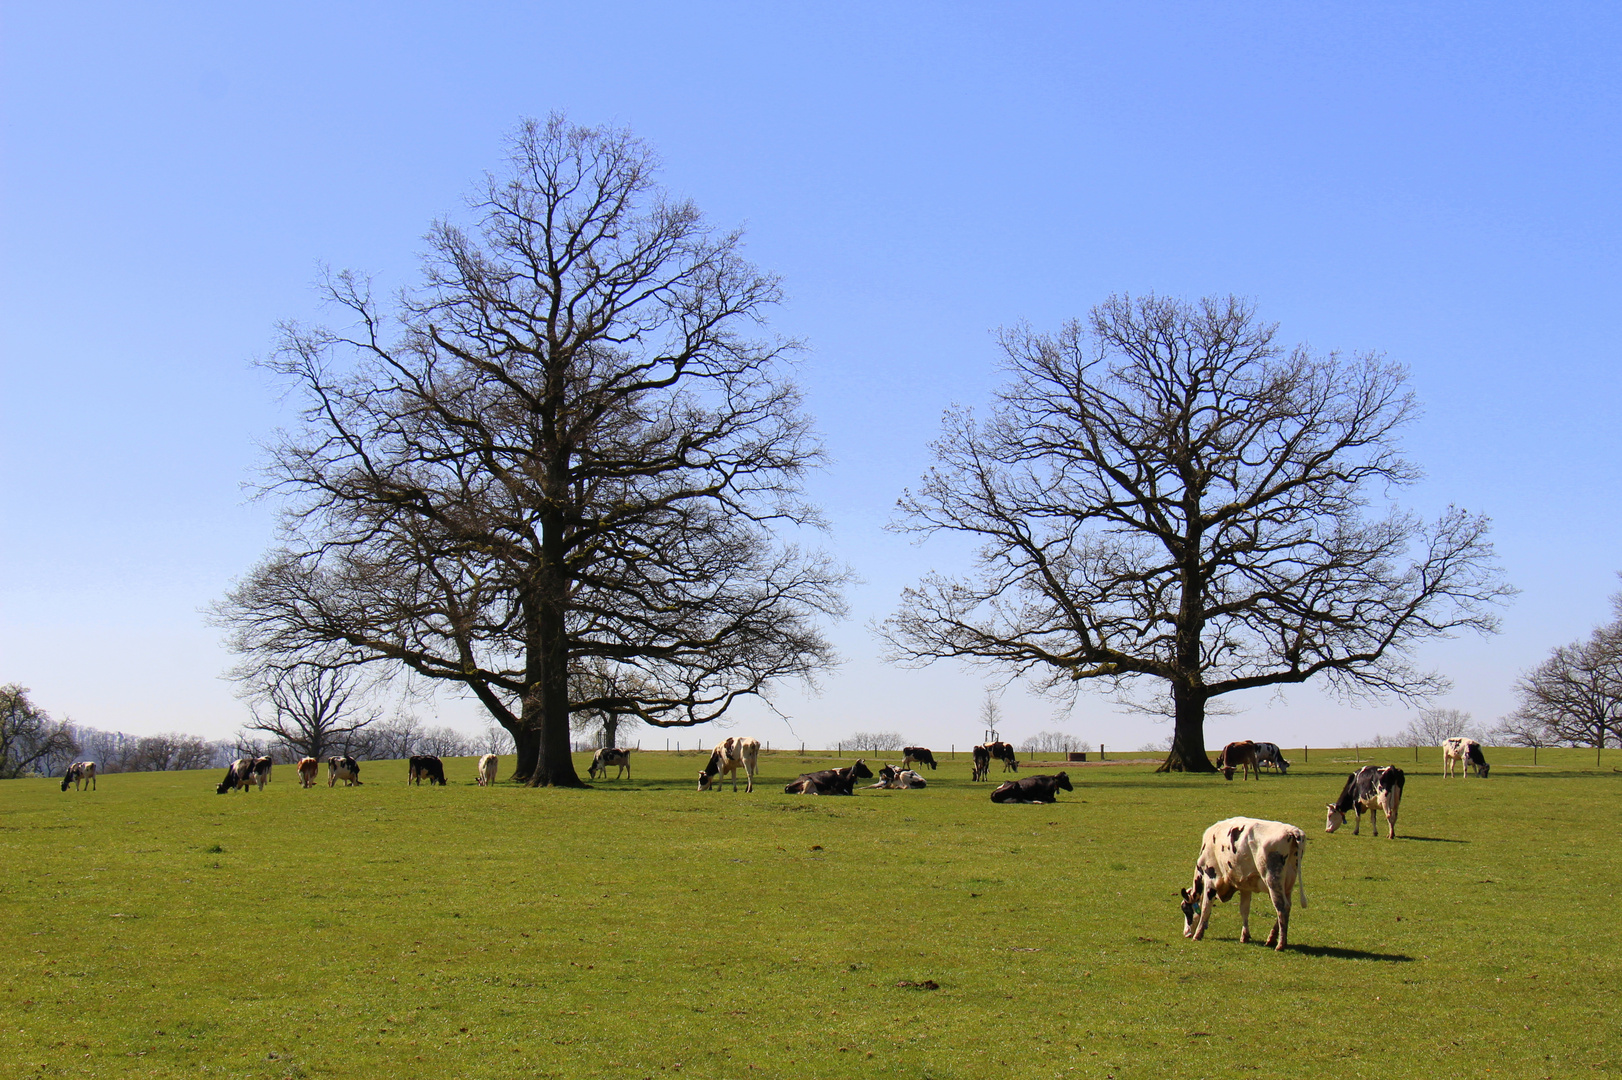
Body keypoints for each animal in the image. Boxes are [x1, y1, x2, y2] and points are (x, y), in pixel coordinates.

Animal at [1180, 810, 1304, 947]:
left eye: (1186, 910)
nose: (1186, 933)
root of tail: (1291, 830)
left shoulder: (1210, 879)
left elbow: (1206, 907)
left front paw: (1198, 934)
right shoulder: (1245, 886)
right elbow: (1244, 910)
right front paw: (1244, 936)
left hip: (1273, 880)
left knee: (1282, 907)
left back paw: (1280, 944)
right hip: (1287, 884)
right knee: (1287, 906)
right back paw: (1271, 938)